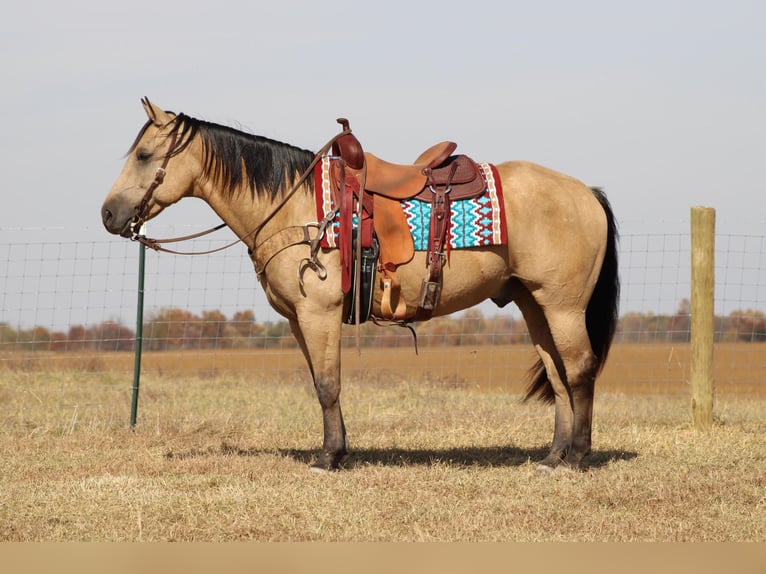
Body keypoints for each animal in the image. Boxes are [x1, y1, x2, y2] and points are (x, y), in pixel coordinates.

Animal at [102, 100, 620, 476]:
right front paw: (338, 448)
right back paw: (551, 457)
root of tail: (587, 192)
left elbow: (328, 383)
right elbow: (319, 381)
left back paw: (576, 457)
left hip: (563, 306)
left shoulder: (319, 312)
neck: (295, 207)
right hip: (535, 304)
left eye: (144, 156)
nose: (108, 214)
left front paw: (329, 457)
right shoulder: (298, 320)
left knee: (580, 369)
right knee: (557, 375)